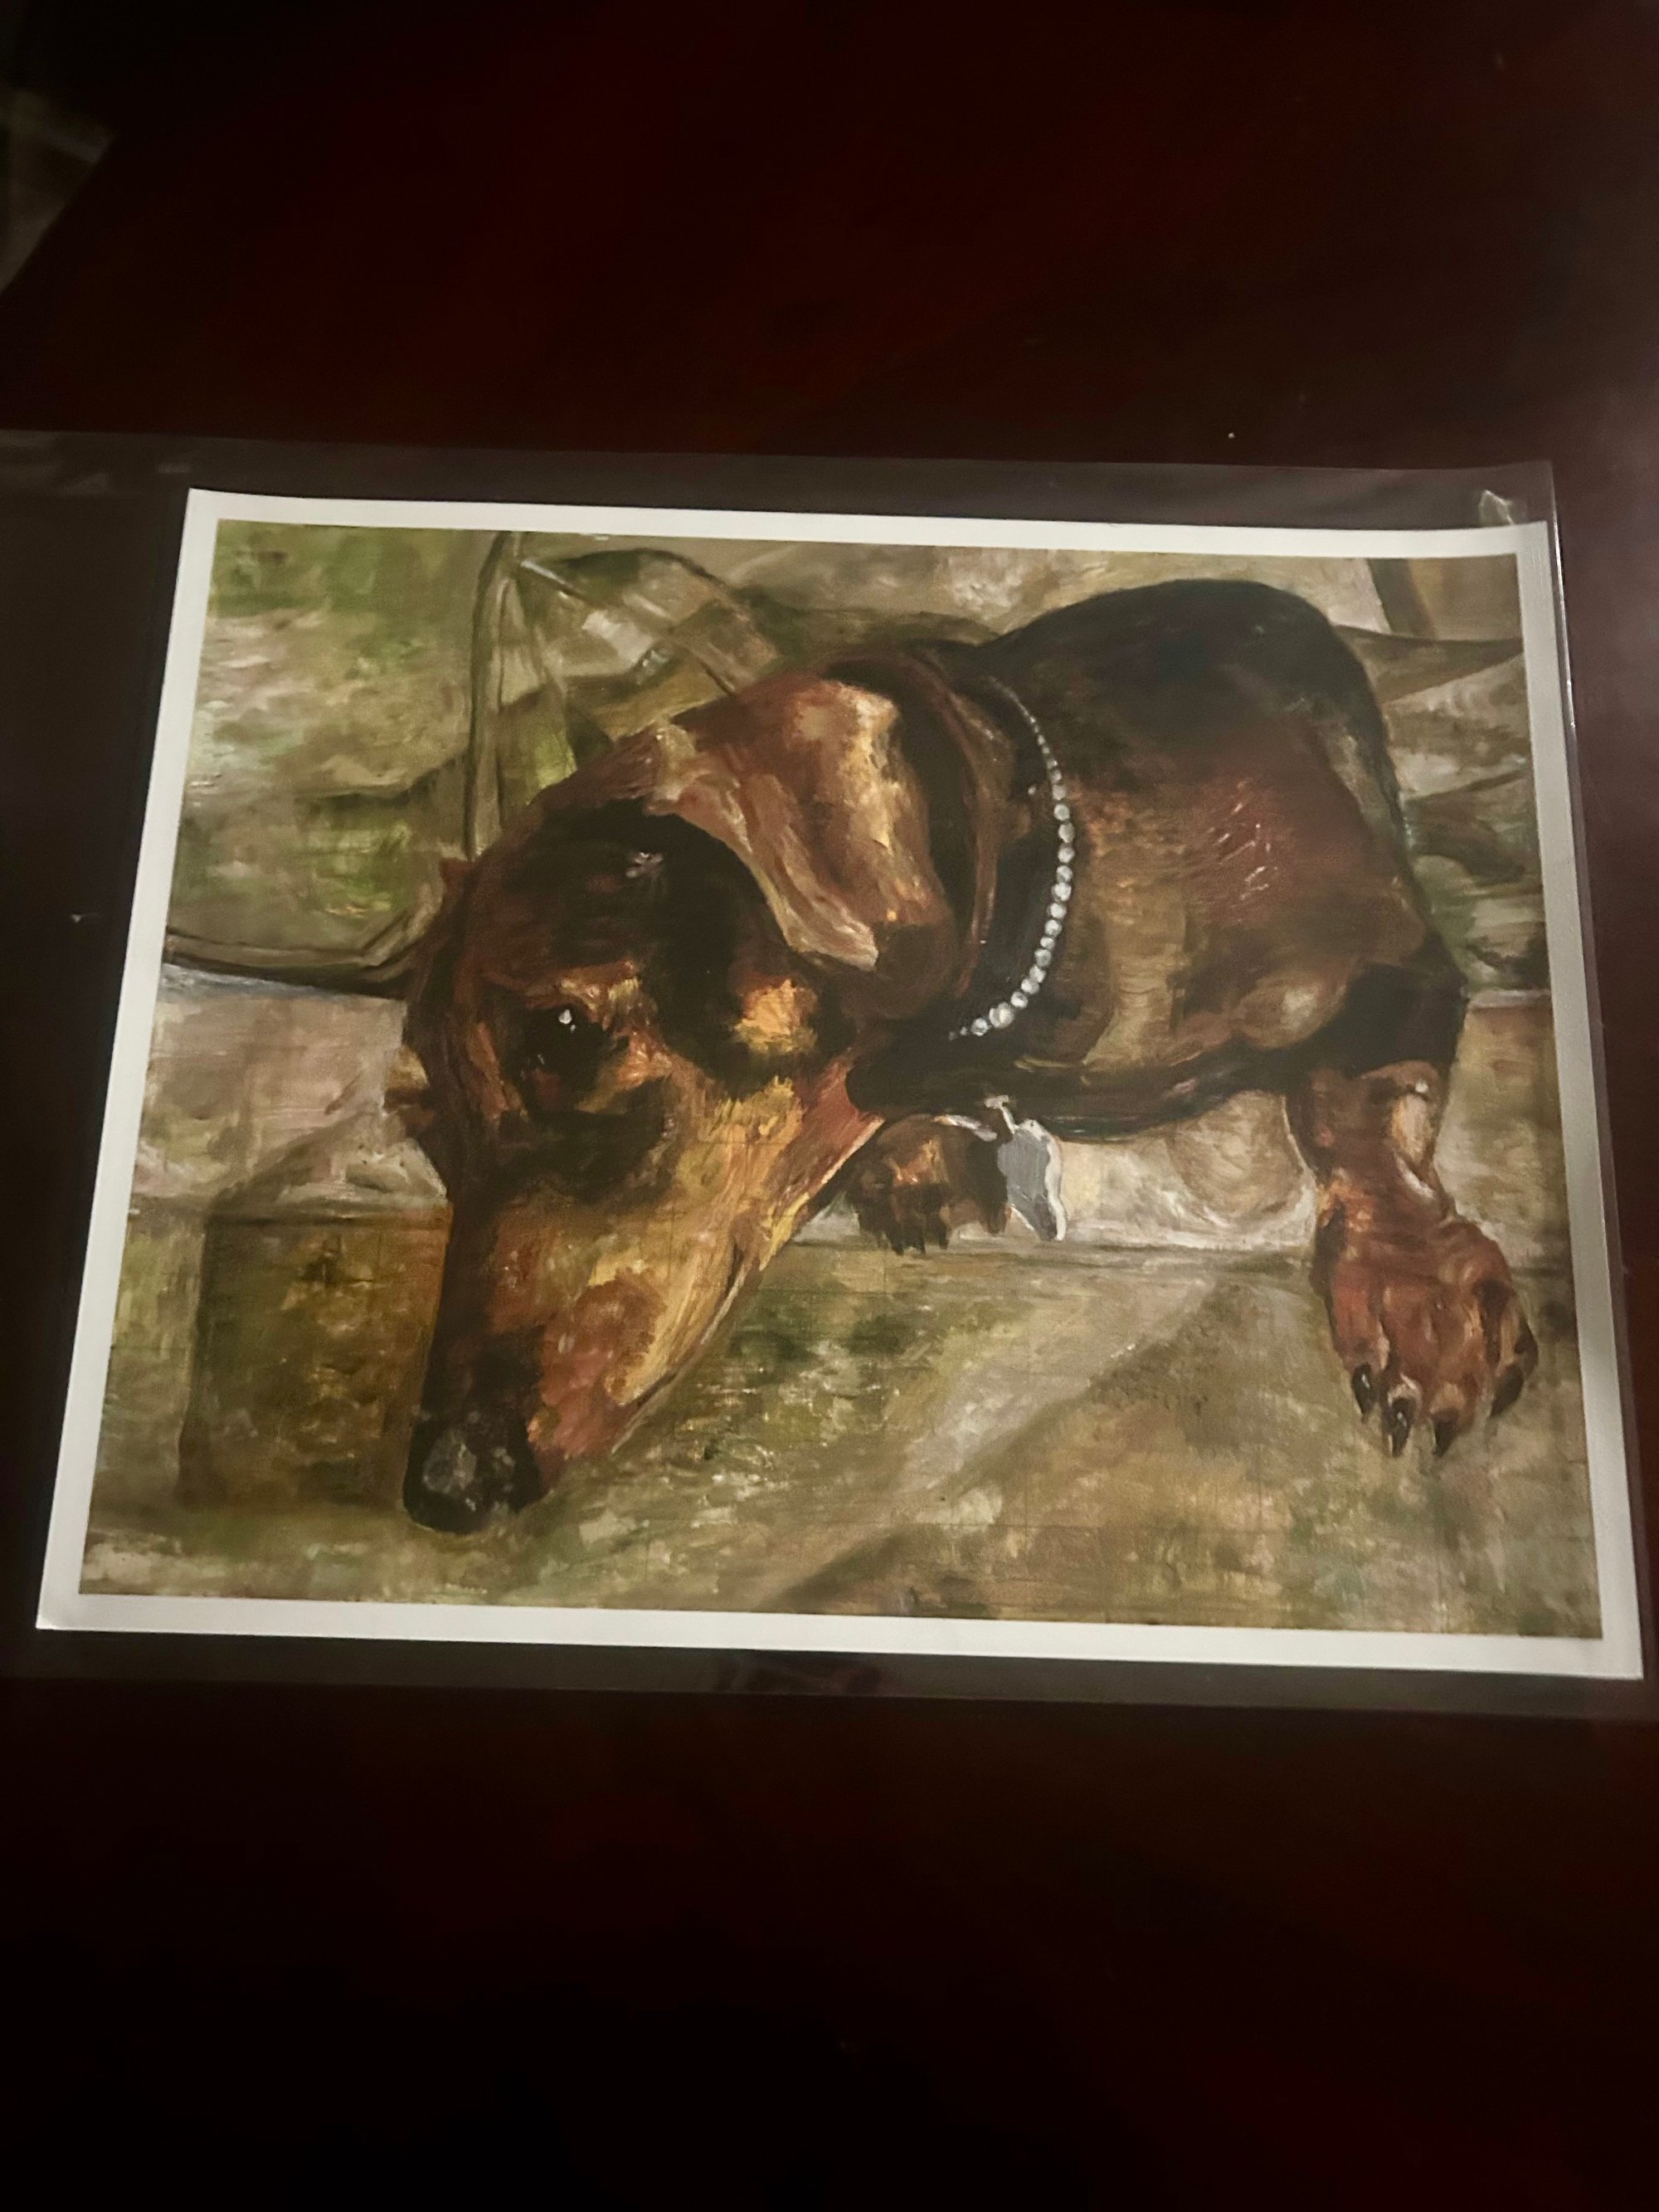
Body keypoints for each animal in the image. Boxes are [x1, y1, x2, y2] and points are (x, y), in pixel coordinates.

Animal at [393, 578, 1537, 1533]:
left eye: (561, 1033)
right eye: (422, 1127)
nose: (444, 1485)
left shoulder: (1398, 964)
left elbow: (1354, 1104)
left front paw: (1415, 1283)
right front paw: (911, 1156)